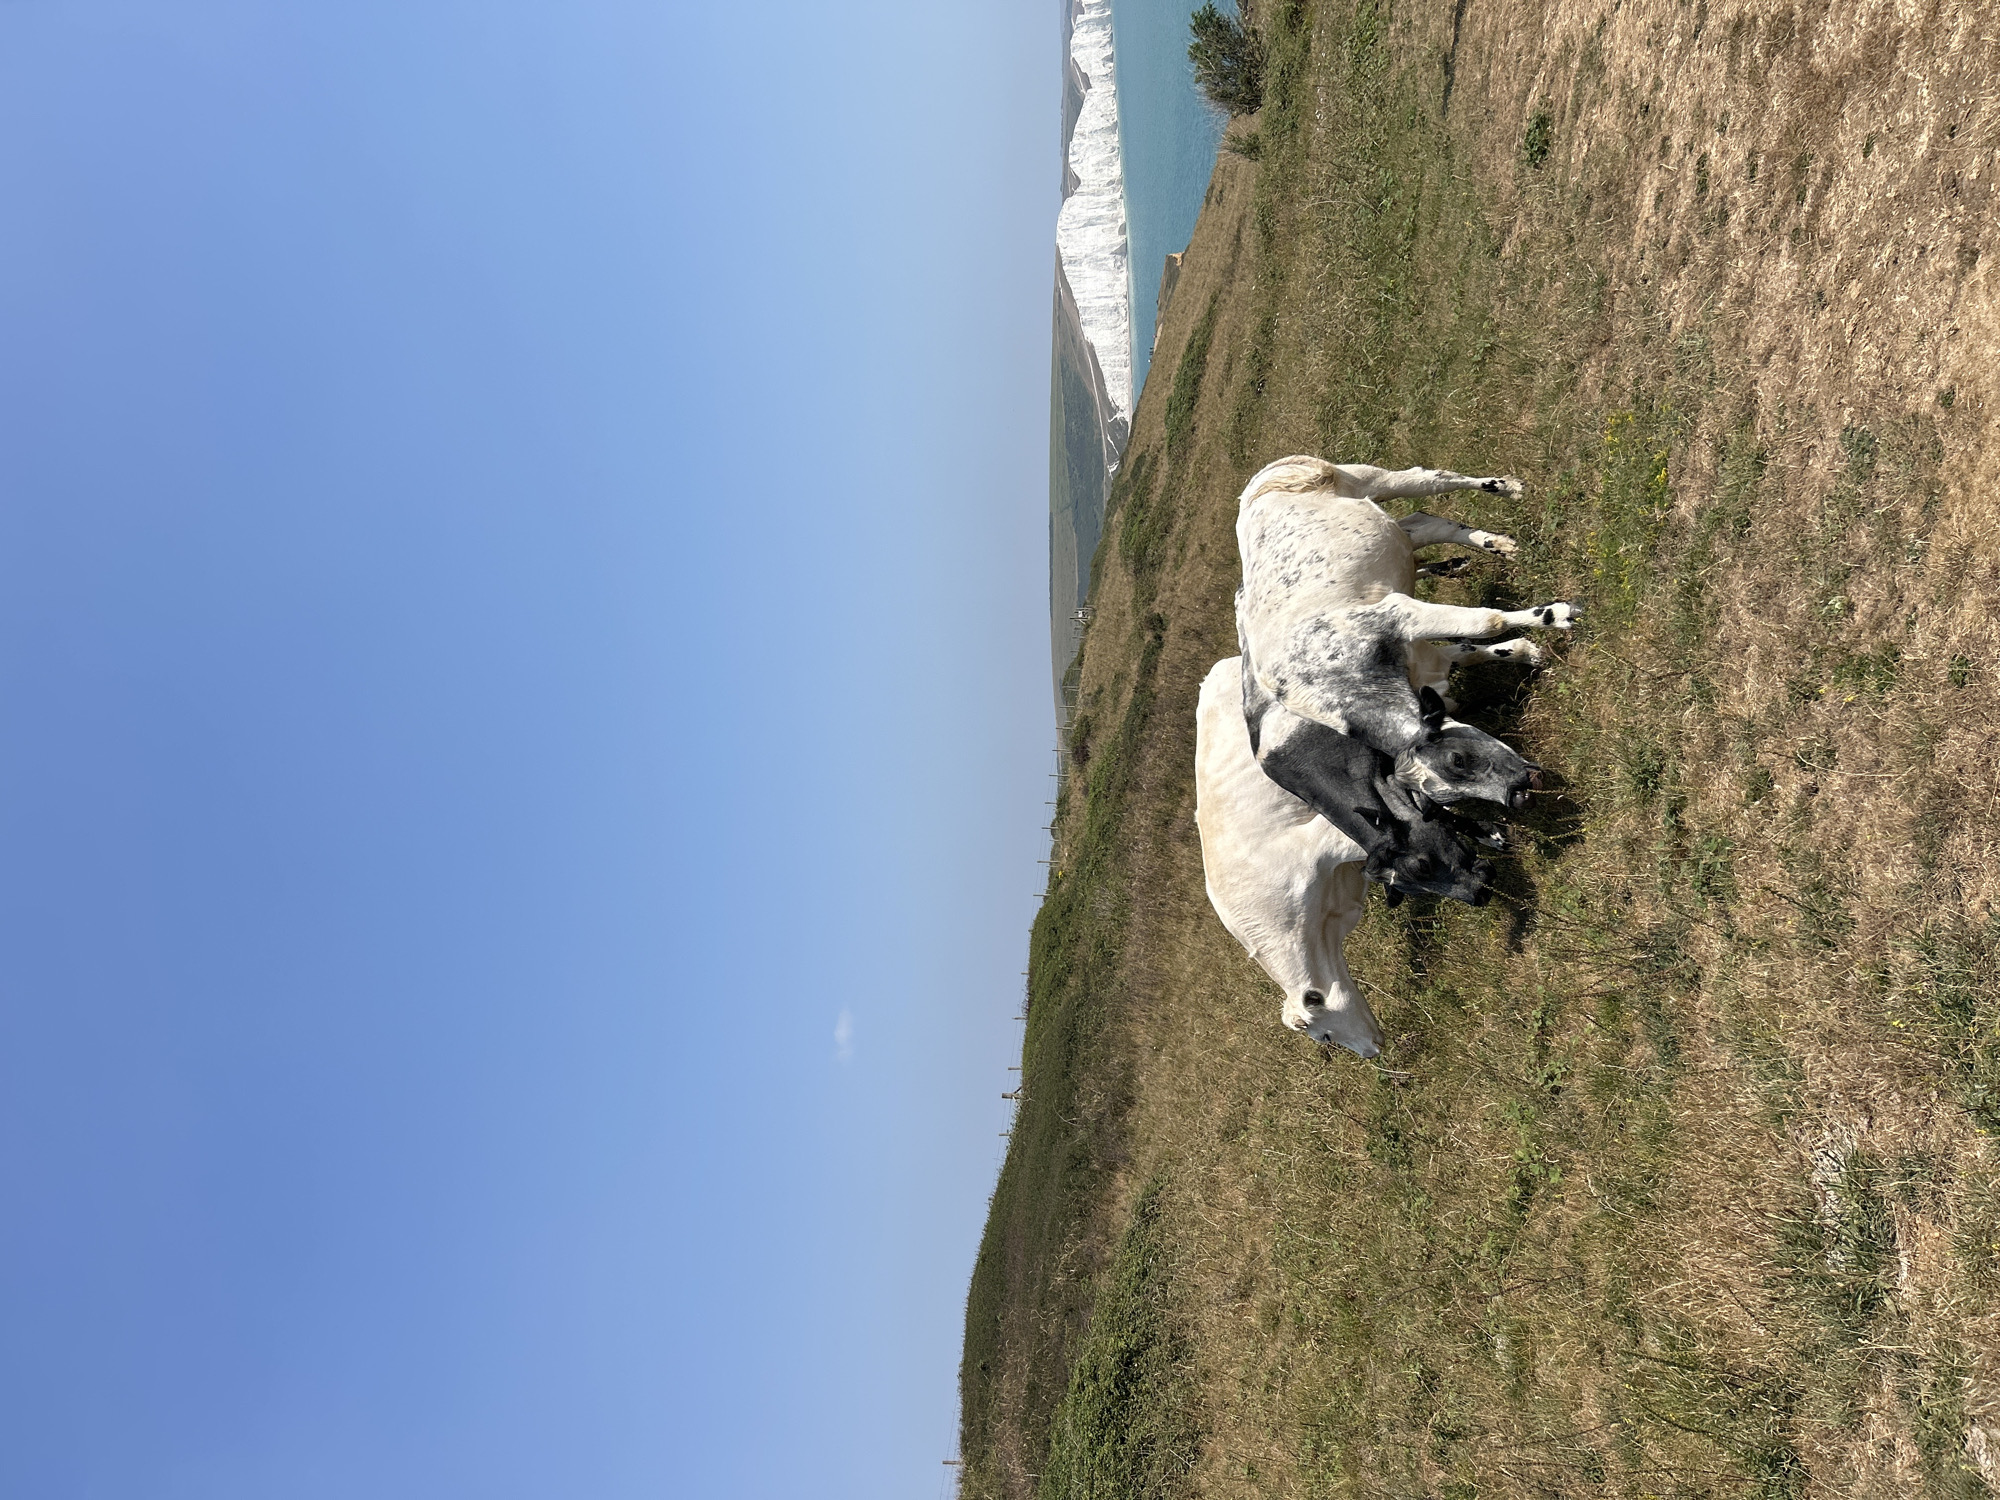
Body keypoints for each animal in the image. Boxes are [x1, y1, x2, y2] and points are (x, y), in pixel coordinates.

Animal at [1235, 455, 1575, 810]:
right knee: (1424, 523)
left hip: (1367, 478)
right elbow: (1468, 651)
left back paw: (1507, 488)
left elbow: (1485, 623)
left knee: (1433, 479)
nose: (1518, 797)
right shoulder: (1424, 653)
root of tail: (1251, 490)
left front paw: (1556, 615)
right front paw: (1527, 652)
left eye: (1457, 759)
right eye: (1450, 799)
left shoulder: (1399, 613)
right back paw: (1497, 544)